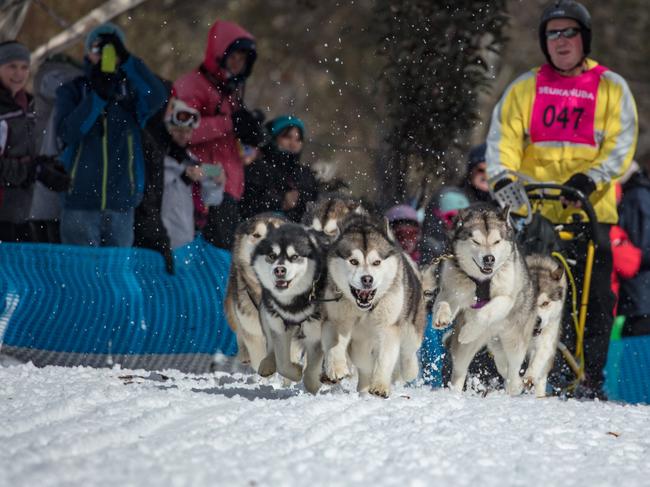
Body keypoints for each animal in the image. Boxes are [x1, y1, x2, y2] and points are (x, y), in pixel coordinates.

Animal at [251, 223, 326, 394]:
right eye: (272, 256)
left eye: (294, 257)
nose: (279, 270)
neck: (293, 302)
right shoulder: (279, 327)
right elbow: (283, 364)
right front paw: (296, 371)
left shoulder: (315, 333)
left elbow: (311, 371)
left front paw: (314, 386)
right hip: (265, 311)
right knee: (271, 345)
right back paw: (268, 363)